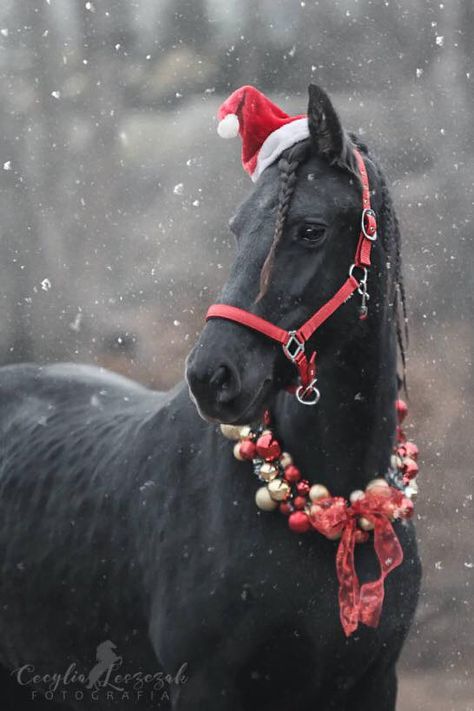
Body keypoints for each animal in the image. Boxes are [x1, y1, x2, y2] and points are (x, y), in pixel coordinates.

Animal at [0, 86, 422, 708]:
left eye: (311, 230)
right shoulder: (206, 685)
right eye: (236, 230)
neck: (339, 513)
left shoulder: (373, 683)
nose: (212, 376)